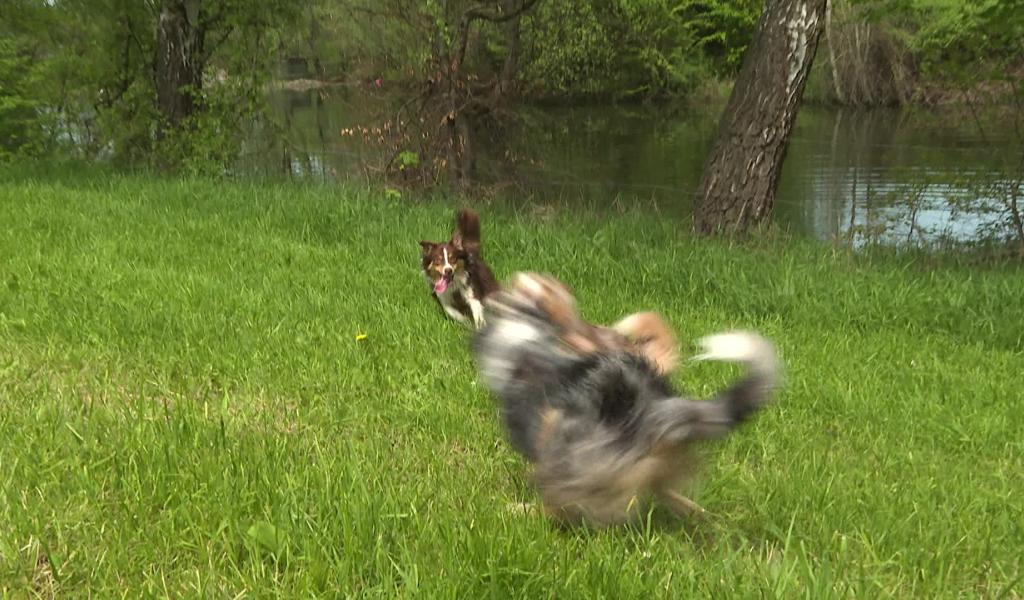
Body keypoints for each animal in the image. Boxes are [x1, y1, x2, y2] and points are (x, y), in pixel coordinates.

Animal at [475, 272, 778, 524]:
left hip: (565, 441)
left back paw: (521, 509)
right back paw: (700, 516)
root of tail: (654, 408)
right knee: (668, 493)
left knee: (560, 506)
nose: (491, 296)